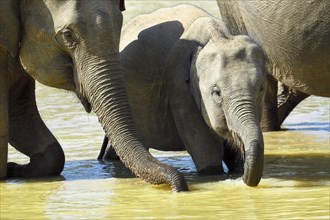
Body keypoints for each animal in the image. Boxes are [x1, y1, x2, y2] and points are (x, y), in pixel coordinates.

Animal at [98, 4, 266, 186]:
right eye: (216, 93)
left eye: (261, 88)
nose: (242, 179)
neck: (218, 36)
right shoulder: (178, 86)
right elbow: (205, 148)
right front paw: (214, 174)